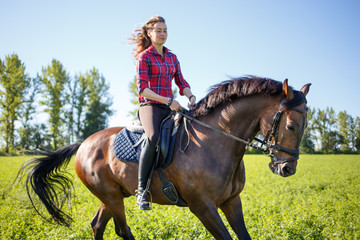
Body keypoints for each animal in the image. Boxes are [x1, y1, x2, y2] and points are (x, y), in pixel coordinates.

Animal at [19, 76, 310, 239]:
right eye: (291, 126)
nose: (288, 168)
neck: (216, 142)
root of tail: (84, 144)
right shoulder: (202, 207)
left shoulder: (231, 201)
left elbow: (244, 235)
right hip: (112, 197)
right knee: (122, 230)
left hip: (111, 195)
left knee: (97, 226)